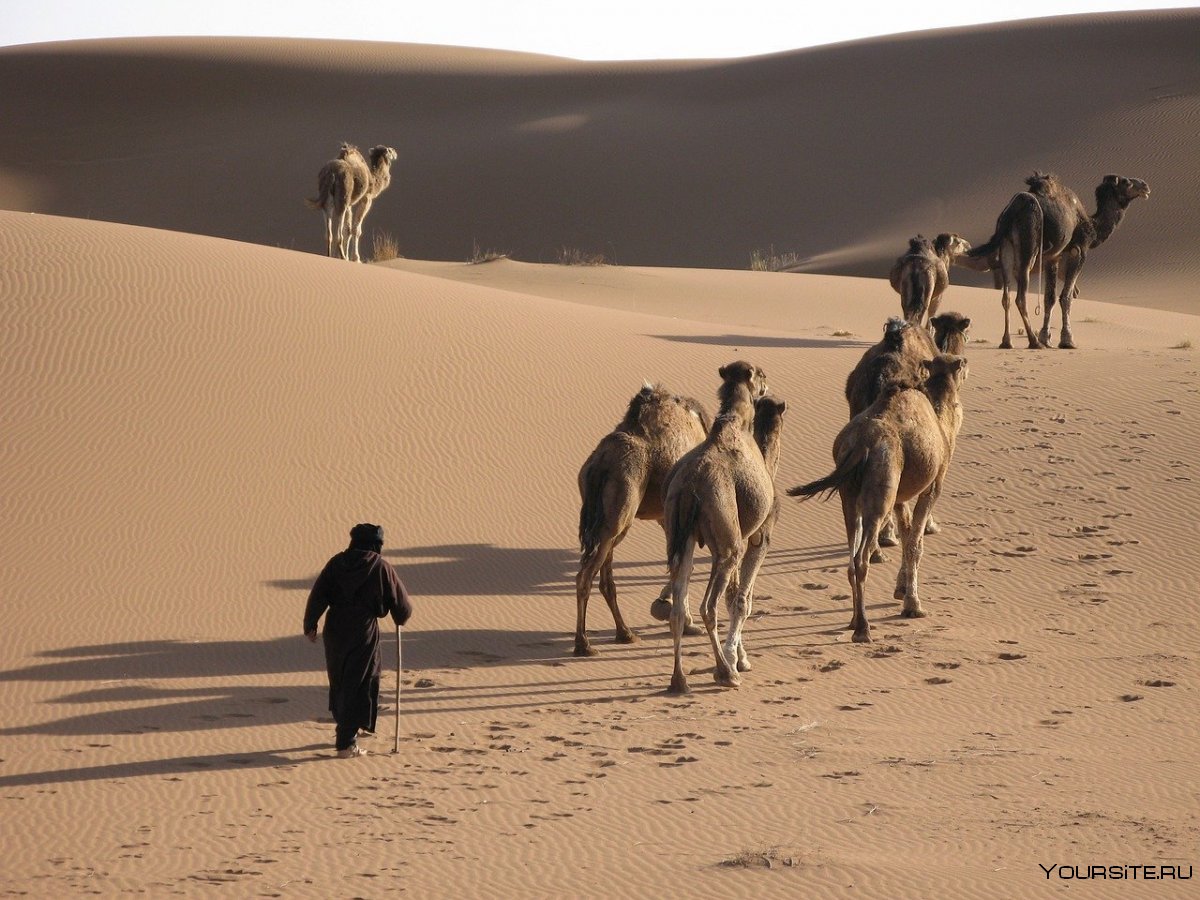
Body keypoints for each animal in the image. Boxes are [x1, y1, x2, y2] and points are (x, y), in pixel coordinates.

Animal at [573, 381, 710, 657]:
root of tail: (599, 465)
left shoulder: (667, 518)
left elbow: (679, 565)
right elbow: (685, 567)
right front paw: (688, 624)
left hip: (607, 520)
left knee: (605, 579)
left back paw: (624, 633)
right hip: (620, 512)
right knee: (586, 576)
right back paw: (584, 644)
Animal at [657, 362, 777, 696]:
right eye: (761, 374)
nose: (767, 386)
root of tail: (689, 488)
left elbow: (734, 597)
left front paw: (739, 656)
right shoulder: (757, 536)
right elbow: (741, 601)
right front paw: (737, 661)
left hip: (679, 536)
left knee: (678, 607)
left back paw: (679, 681)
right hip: (726, 545)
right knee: (707, 606)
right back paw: (725, 674)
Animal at [787, 355, 974, 643]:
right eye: (962, 363)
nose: (967, 362)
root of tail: (861, 444)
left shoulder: (900, 496)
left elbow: (907, 536)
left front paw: (902, 590)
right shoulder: (933, 486)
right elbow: (915, 544)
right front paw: (913, 606)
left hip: (849, 496)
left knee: (851, 557)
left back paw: (854, 621)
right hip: (881, 486)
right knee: (861, 558)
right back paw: (863, 629)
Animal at [960, 172, 1147, 348]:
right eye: (1127, 182)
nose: (1145, 186)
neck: (1091, 225)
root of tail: (1011, 212)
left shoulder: (1053, 258)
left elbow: (1049, 298)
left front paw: (1046, 338)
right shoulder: (1078, 251)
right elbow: (1066, 296)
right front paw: (1067, 340)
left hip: (1006, 247)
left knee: (1006, 297)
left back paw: (1007, 342)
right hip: (1029, 244)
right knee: (1021, 297)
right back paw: (1033, 341)